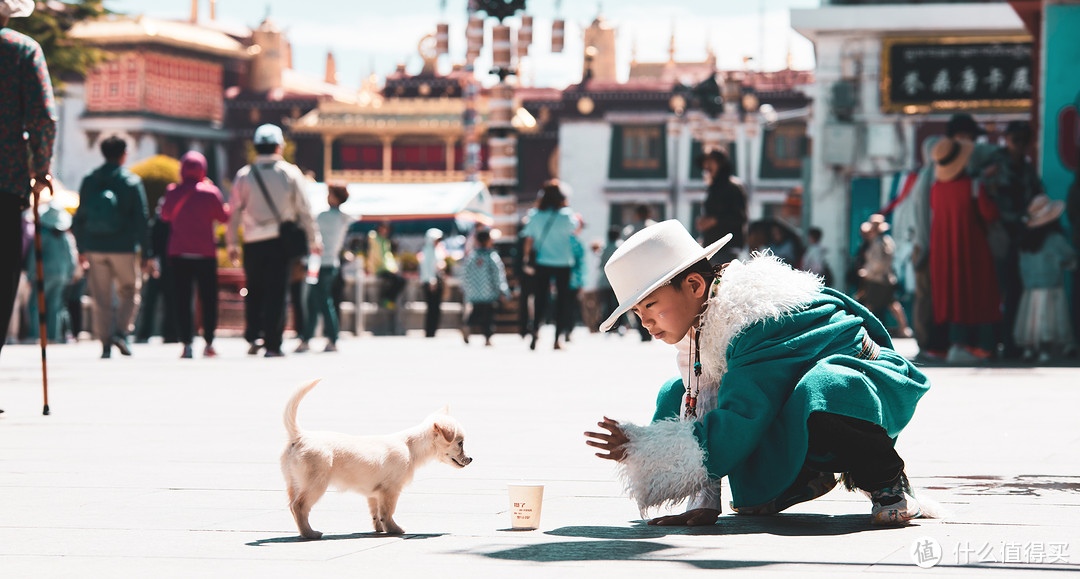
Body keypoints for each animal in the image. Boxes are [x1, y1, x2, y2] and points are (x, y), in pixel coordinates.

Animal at [280, 380, 470, 537]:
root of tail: (300, 436)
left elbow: (376, 514)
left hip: (294, 483)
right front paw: (394, 529)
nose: (471, 459)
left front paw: (379, 529)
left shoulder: (374, 494)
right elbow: (387, 512)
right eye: (460, 443)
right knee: (299, 506)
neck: (411, 447)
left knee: (292, 506)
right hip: (316, 484)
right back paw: (310, 533)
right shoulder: (391, 489)